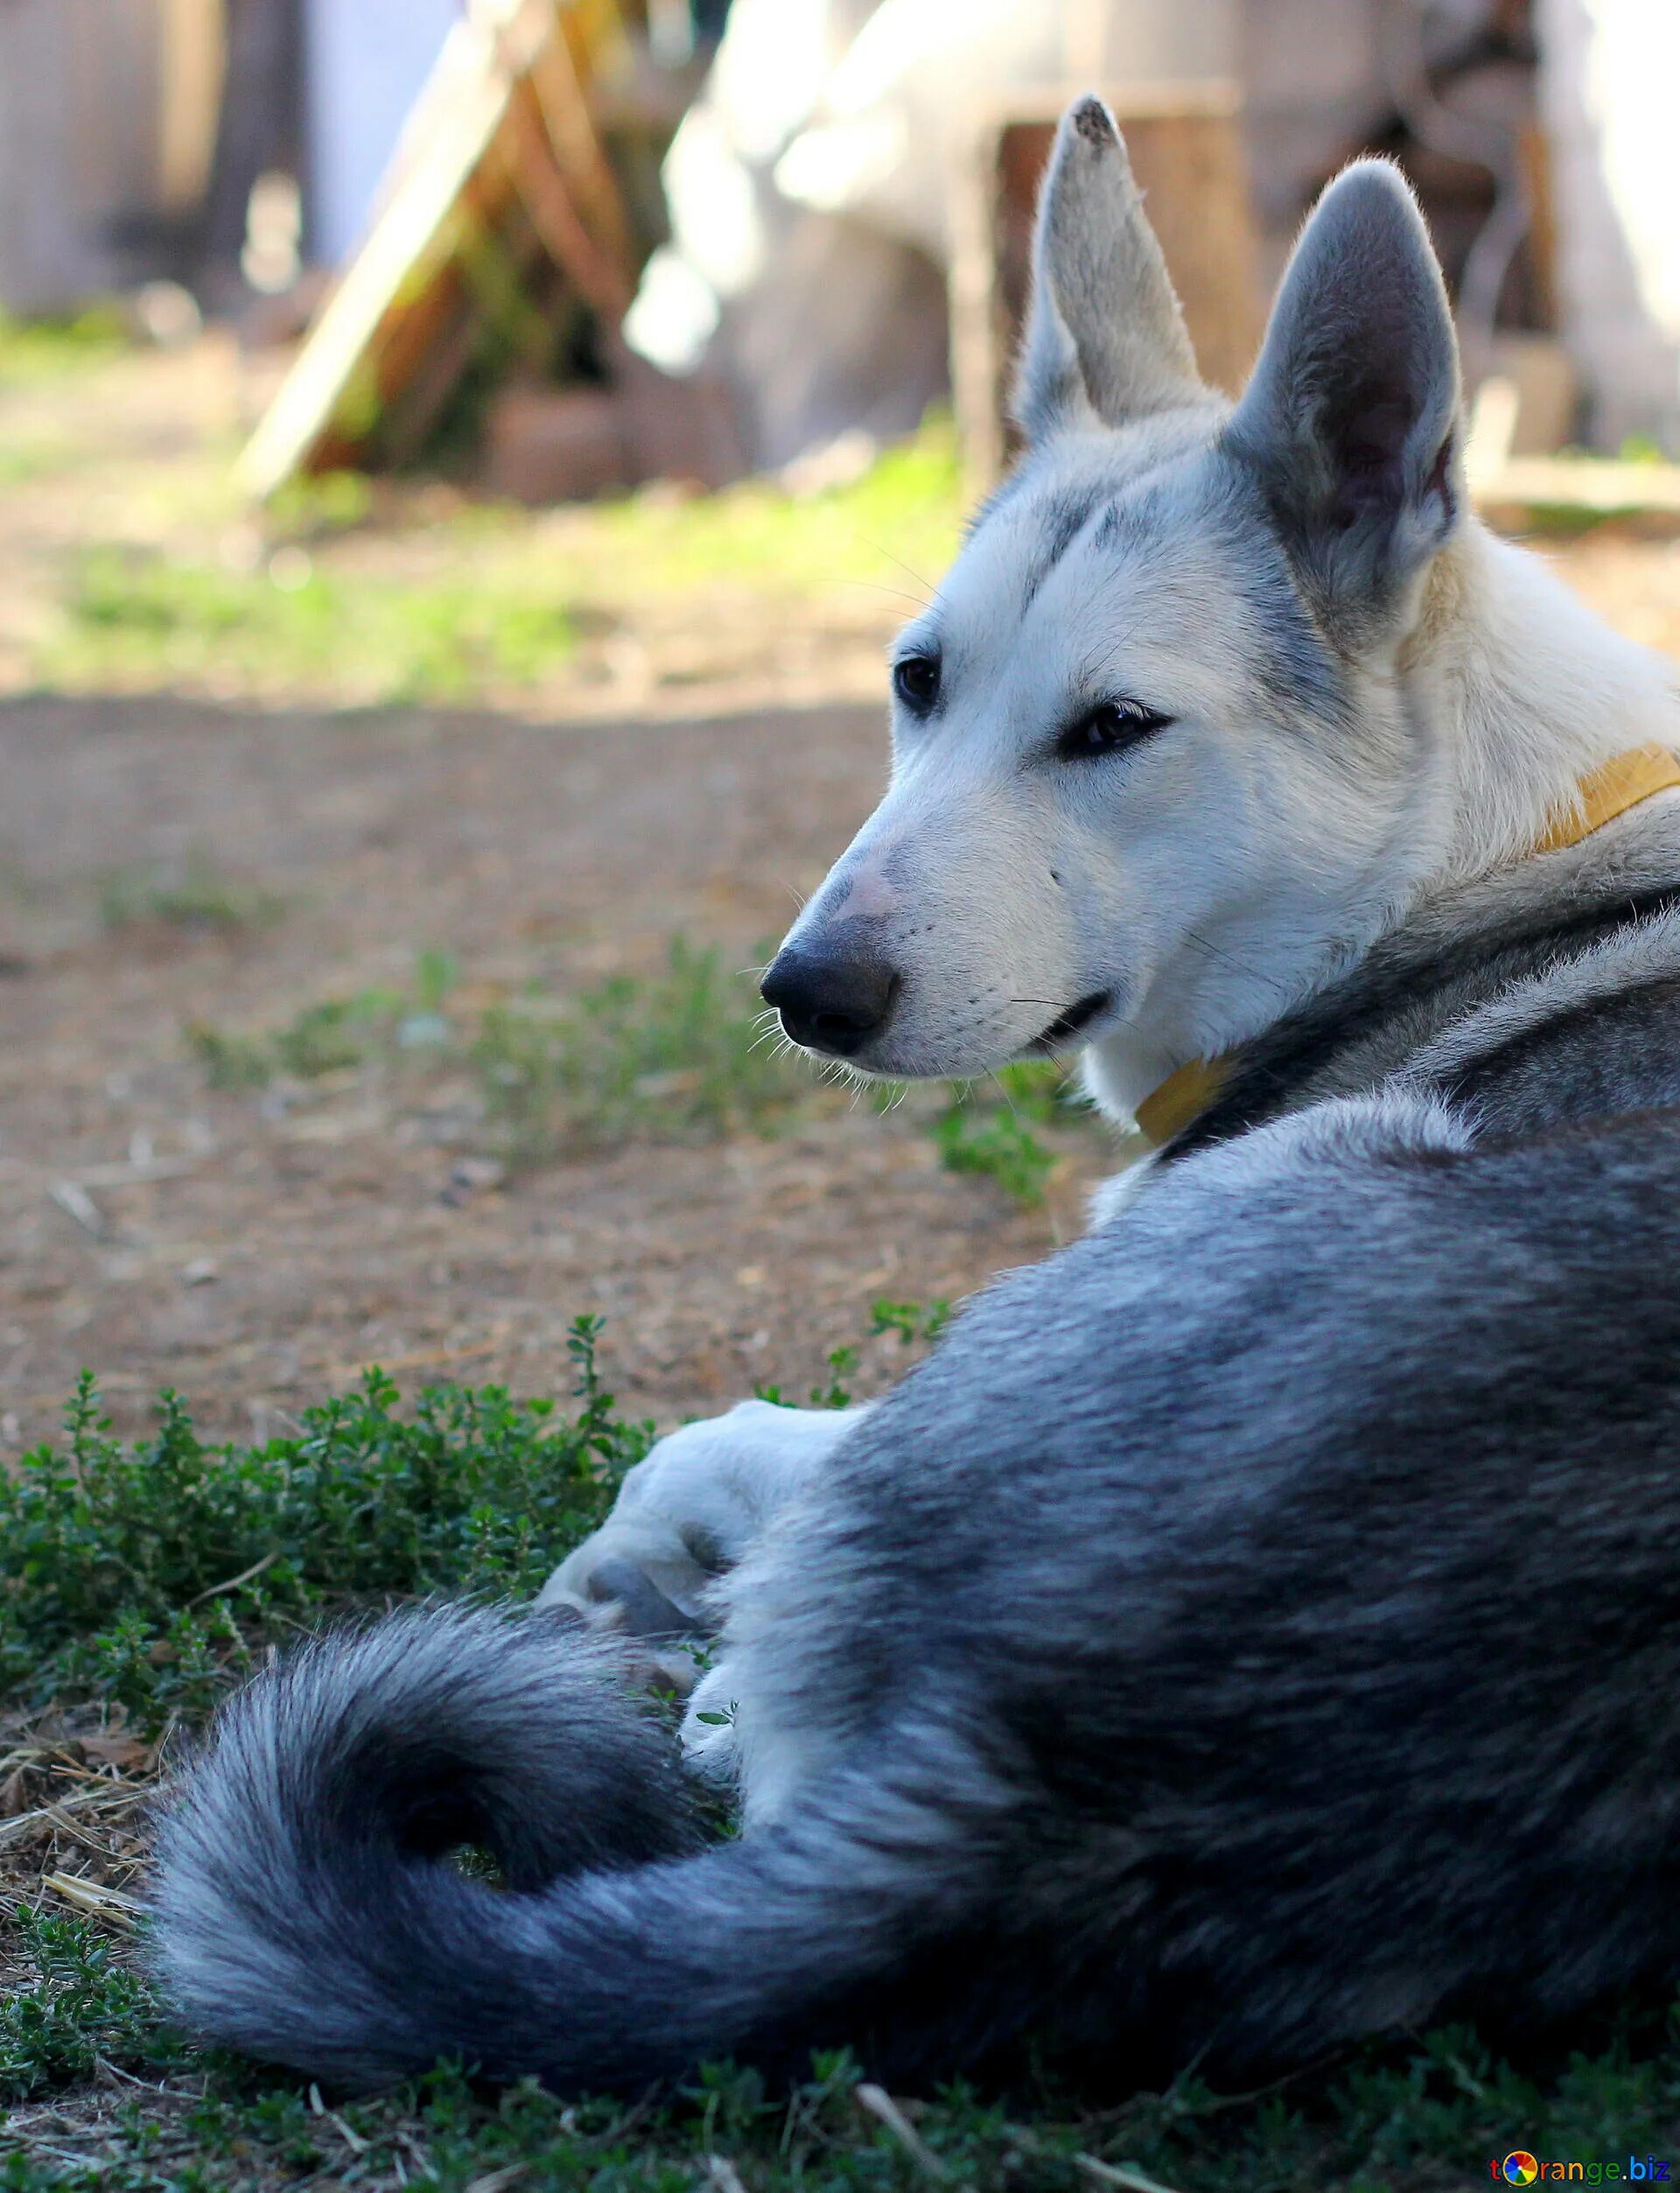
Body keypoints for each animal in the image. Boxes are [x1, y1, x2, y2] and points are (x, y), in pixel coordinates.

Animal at [148, 98, 1680, 2087]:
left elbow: (707, 1436)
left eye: (1114, 729)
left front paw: (664, 1572)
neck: (1455, 861)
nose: (806, 993)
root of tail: (1035, 1771)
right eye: (915, 683)